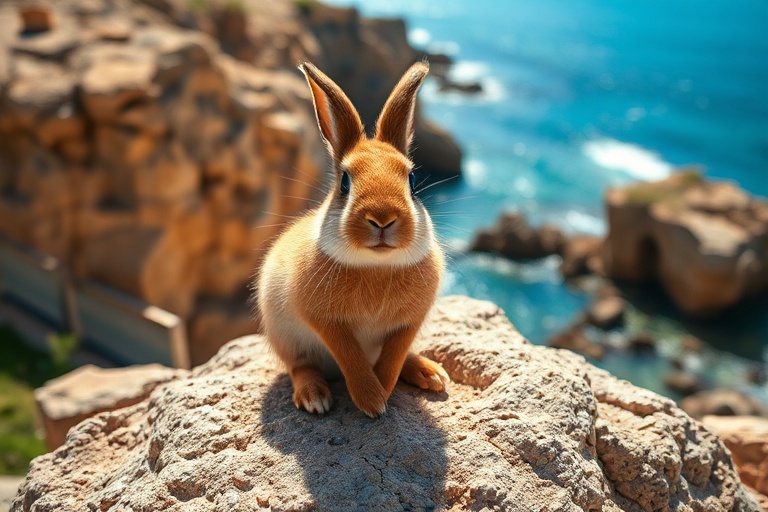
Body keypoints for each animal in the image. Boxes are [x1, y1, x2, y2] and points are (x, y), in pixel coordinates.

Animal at [256, 60, 449, 418]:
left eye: (412, 180)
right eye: (345, 182)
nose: (383, 219)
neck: (376, 265)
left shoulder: (409, 323)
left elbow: (393, 356)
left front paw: (382, 391)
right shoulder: (326, 322)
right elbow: (350, 356)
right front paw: (372, 401)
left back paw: (432, 374)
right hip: (287, 338)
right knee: (300, 367)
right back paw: (314, 397)